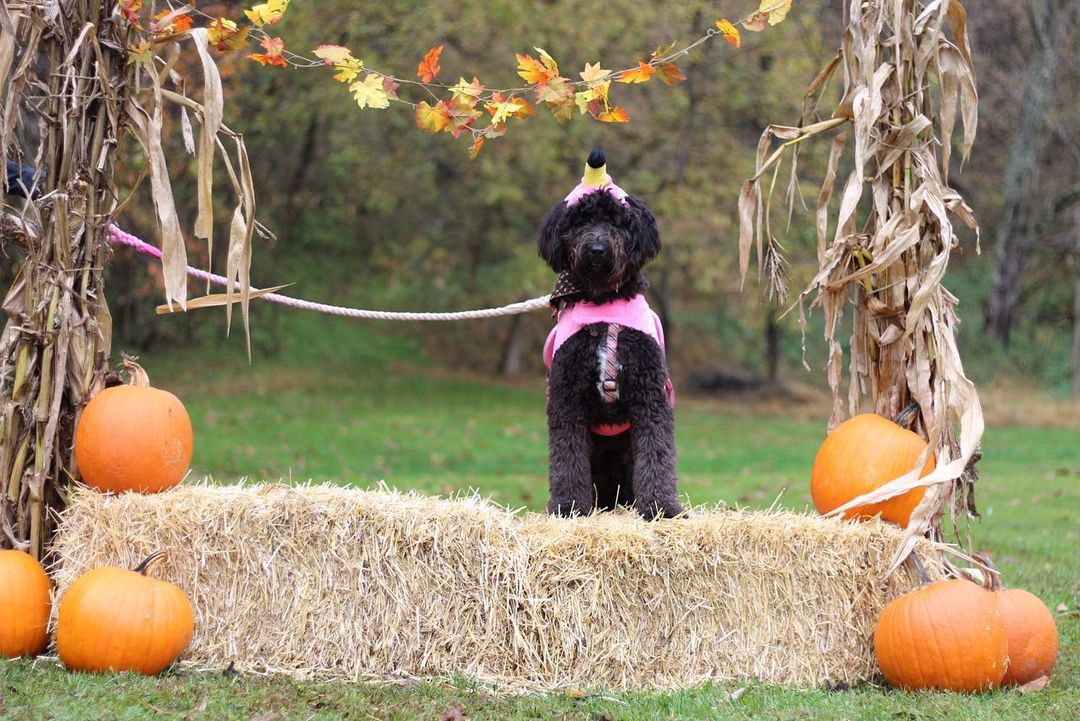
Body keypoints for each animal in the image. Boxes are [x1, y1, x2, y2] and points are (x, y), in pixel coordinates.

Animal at [540, 148, 682, 518]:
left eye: (617, 221)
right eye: (580, 222)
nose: (597, 250)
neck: (603, 303)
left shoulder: (651, 396)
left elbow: (657, 454)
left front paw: (661, 507)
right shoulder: (566, 396)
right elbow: (567, 459)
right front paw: (568, 505)